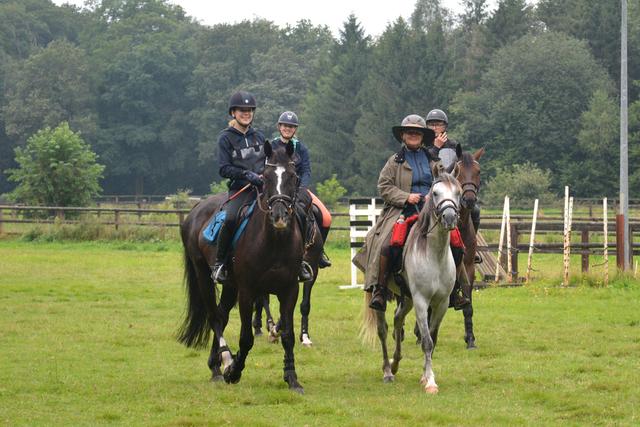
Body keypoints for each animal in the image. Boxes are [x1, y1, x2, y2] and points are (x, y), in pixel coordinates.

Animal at [175, 140, 304, 394]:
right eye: (266, 178)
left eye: (293, 176)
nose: (280, 216)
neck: (275, 243)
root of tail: (196, 210)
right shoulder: (248, 292)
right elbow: (246, 338)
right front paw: (234, 370)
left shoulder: (289, 290)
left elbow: (288, 335)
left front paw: (292, 378)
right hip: (204, 276)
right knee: (214, 317)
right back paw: (224, 361)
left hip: (230, 286)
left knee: (222, 315)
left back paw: (215, 365)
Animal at [362, 166, 462, 394]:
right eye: (435, 193)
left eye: (458, 192)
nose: (449, 218)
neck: (434, 254)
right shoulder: (421, 301)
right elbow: (426, 341)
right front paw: (431, 382)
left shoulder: (442, 303)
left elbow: (432, 339)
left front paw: (425, 376)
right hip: (383, 294)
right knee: (383, 330)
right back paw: (387, 371)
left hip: (406, 298)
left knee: (398, 320)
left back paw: (395, 362)